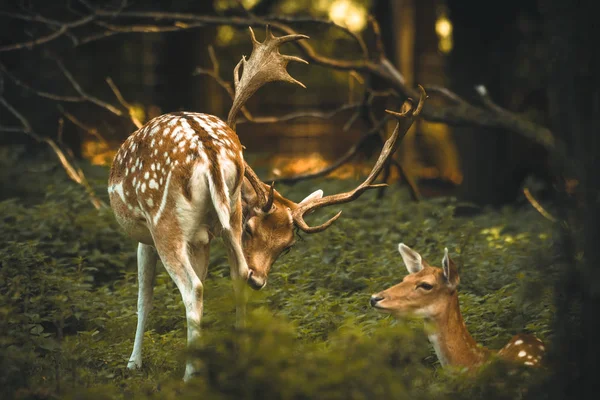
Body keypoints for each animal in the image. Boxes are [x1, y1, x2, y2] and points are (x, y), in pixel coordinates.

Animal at [108, 26, 426, 380]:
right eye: (252, 230)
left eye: (288, 246)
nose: (259, 280)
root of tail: (208, 153)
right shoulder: (206, 237)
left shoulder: (146, 235)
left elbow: (144, 297)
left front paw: (133, 362)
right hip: (226, 218)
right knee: (234, 277)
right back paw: (241, 357)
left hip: (164, 220)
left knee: (193, 288)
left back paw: (190, 374)